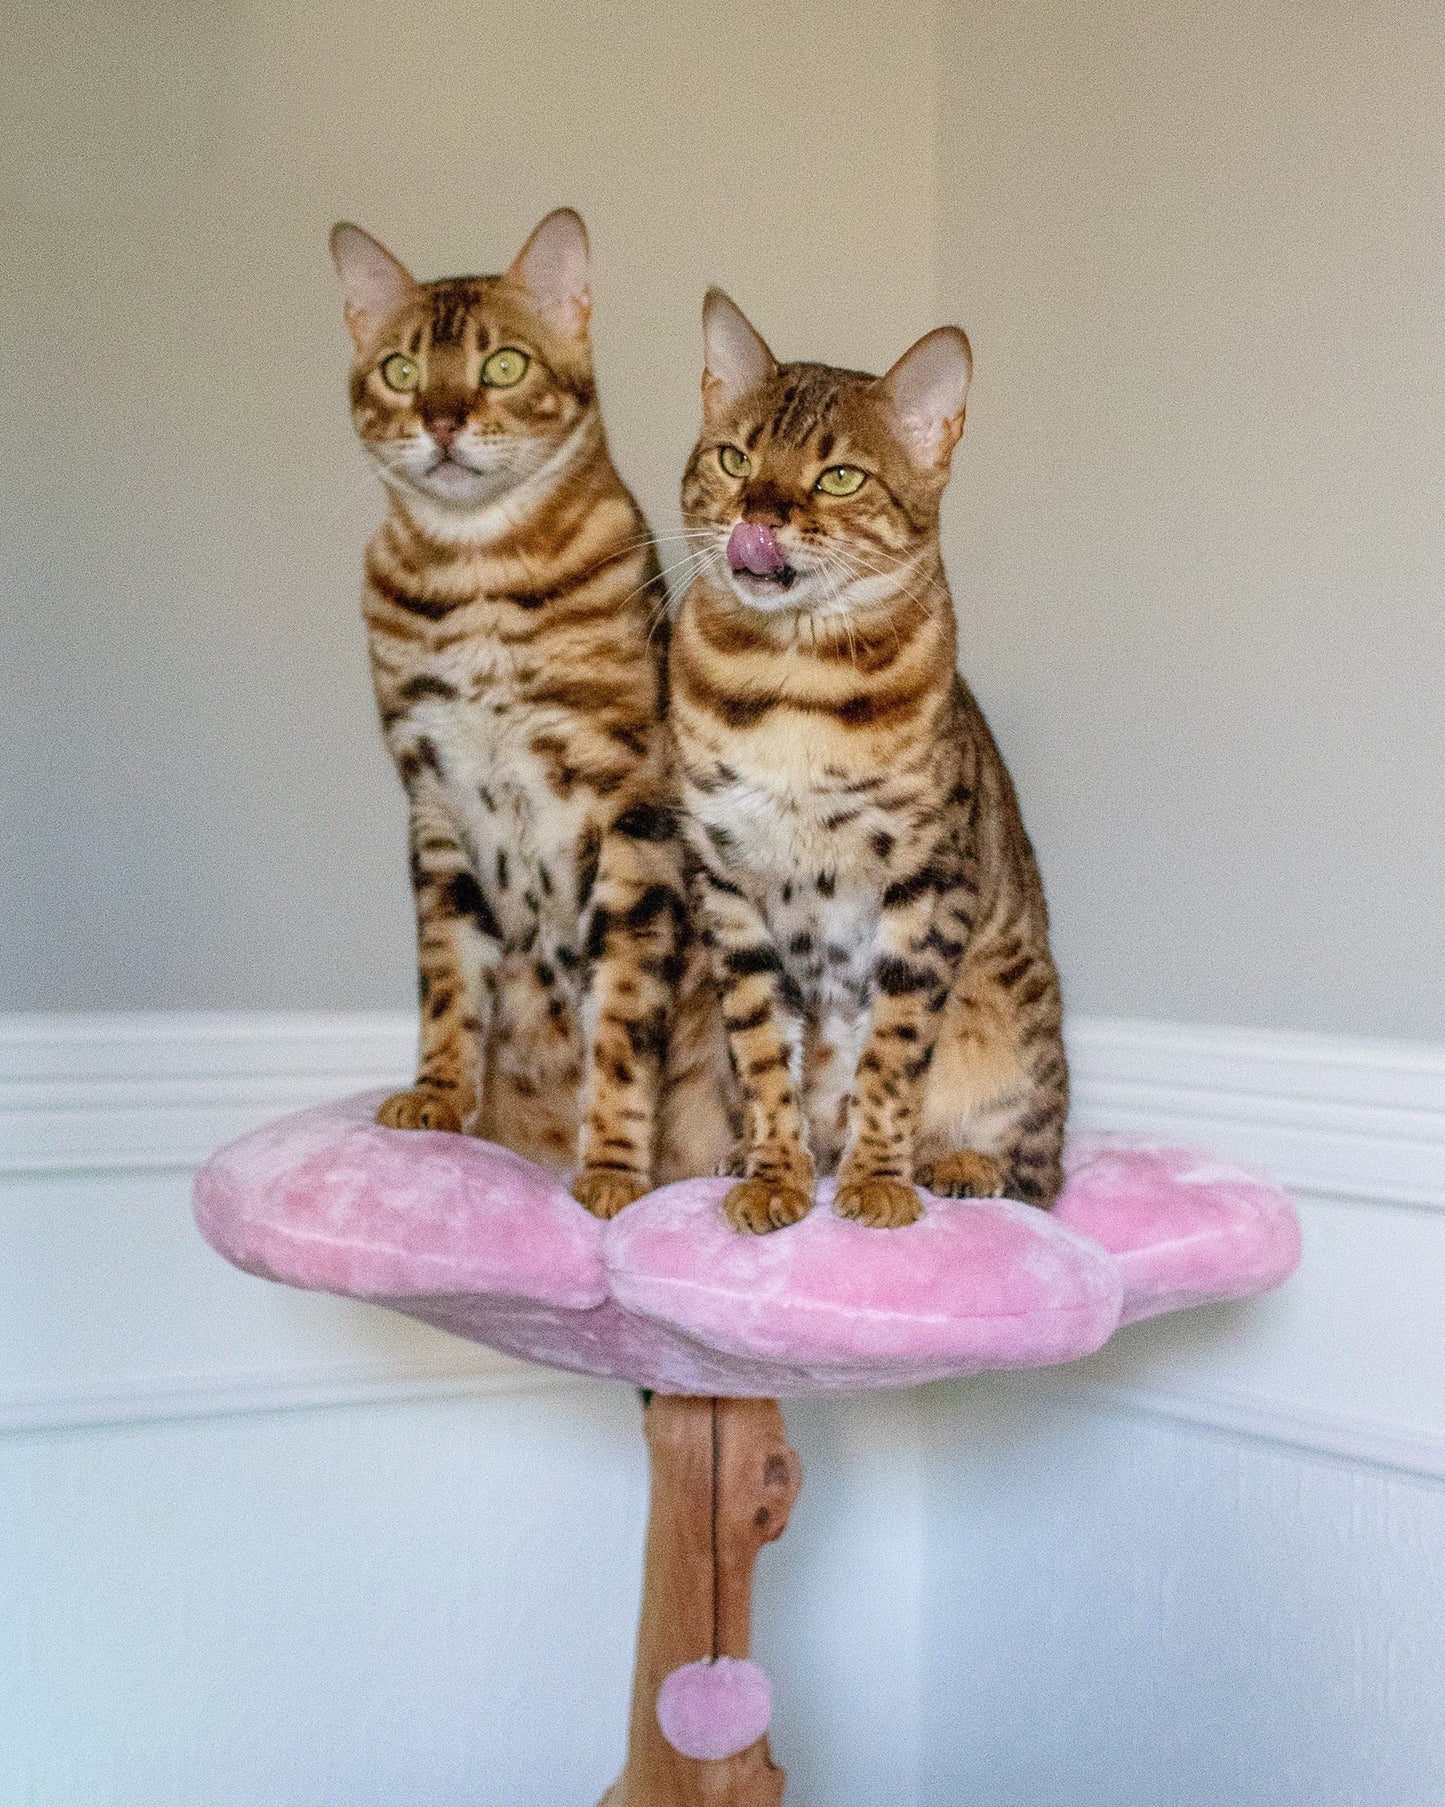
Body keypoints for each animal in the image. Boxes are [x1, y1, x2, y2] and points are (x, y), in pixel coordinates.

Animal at [332, 211, 729, 1221]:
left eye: (502, 364)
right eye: (402, 369)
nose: (440, 418)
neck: (474, 578)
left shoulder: (628, 806)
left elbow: (621, 1017)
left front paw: (614, 1170)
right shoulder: (432, 798)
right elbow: (447, 979)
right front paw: (436, 1099)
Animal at [664, 289, 1062, 1235]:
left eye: (838, 476)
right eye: (735, 457)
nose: (757, 517)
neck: (789, 685)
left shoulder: (926, 884)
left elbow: (890, 1053)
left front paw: (877, 1180)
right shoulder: (726, 886)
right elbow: (762, 1052)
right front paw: (774, 1175)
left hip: (1013, 1018)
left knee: (1036, 1169)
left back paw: (955, 1164)